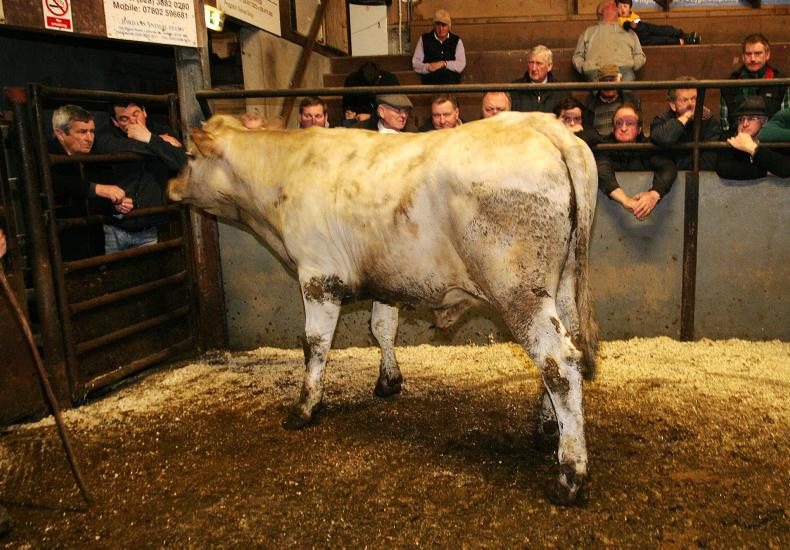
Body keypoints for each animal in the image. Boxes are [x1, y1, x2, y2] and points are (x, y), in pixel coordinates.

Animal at [168, 111, 598, 504]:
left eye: (189, 155)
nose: (171, 186)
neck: (283, 173)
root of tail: (540, 124)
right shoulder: (386, 280)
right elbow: (382, 328)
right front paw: (389, 381)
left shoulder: (318, 276)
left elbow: (315, 344)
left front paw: (304, 409)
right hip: (562, 284)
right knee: (568, 351)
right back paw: (547, 429)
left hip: (518, 291)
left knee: (558, 363)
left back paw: (569, 477)